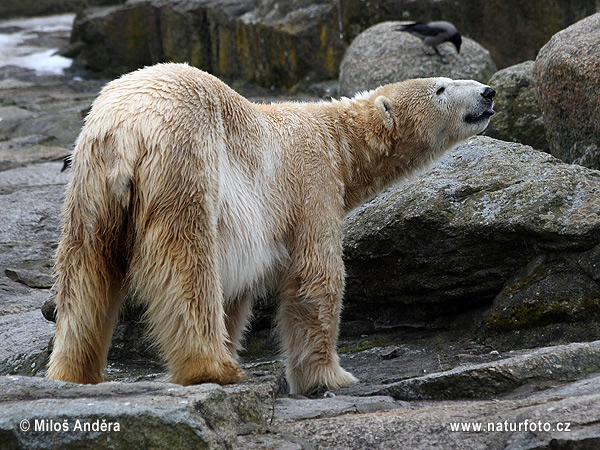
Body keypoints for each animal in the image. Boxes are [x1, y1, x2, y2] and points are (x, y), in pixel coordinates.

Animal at [47, 62, 494, 394]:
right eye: (441, 87)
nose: (488, 92)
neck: (338, 140)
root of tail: (125, 128)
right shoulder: (311, 180)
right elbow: (316, 277)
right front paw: (328, 376)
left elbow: (237, 297)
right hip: (185, 162)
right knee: (188, 263)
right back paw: (213, 367)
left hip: (90, 185)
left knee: (86, 270)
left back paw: (74, 371)